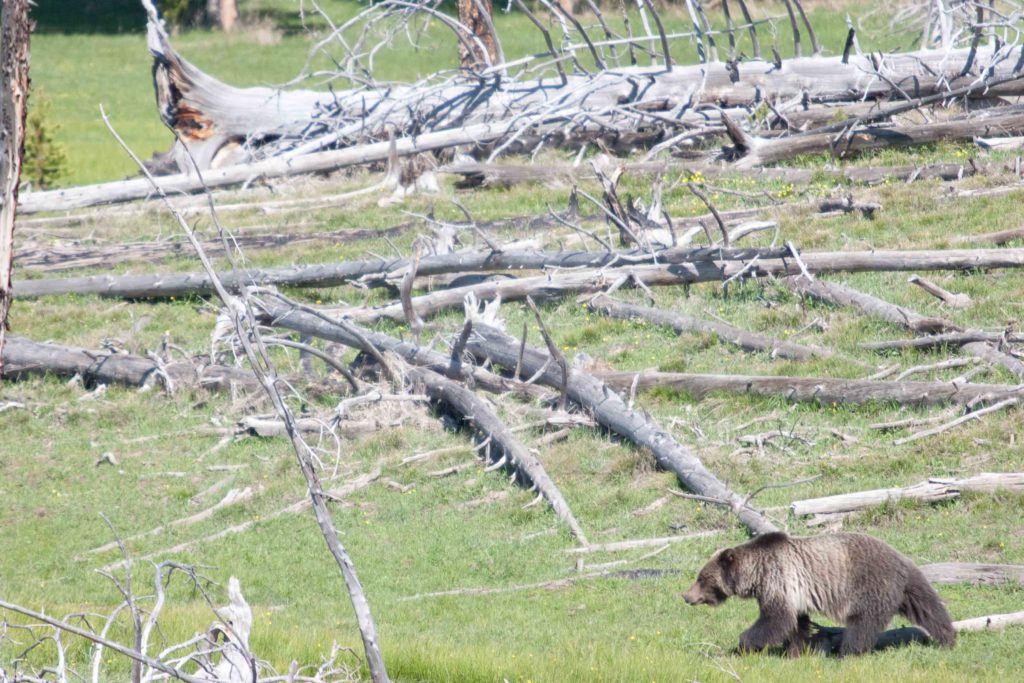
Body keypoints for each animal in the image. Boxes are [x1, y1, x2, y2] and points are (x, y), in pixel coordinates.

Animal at [684, 532, 954, 655]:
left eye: (701, 578)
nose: (686, 596)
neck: (756, 573)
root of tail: (900, 559)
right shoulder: (794, 592)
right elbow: (795, 623)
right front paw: (795, 651)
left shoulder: (778, 580)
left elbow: (775, 619)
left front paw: (743, 644)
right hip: (908, 586)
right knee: (929, 608)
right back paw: (948, 639)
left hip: (869, 585)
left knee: (861, 624)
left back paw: (848, 652)